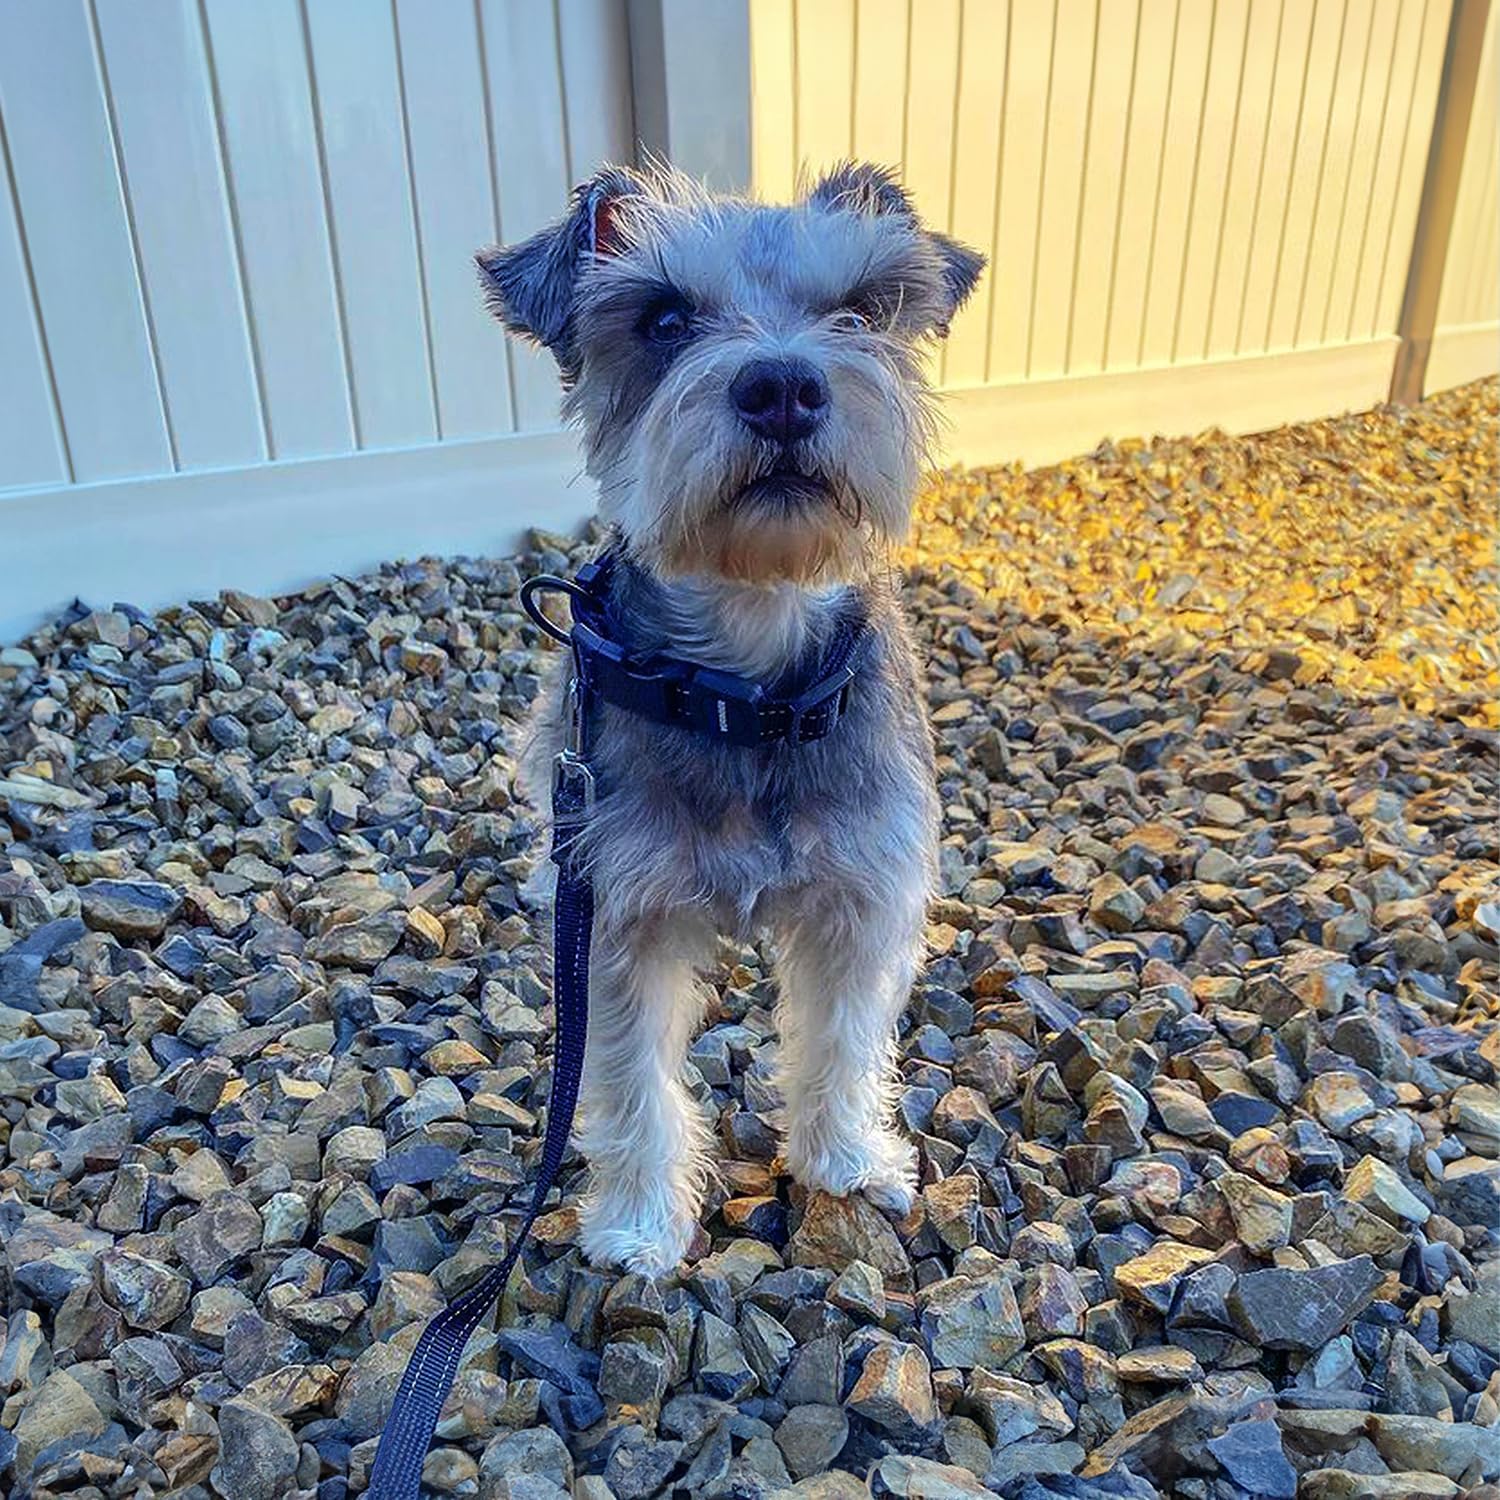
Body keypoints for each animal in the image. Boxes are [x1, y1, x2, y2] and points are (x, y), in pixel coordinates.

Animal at [477, 161, 984, 1275]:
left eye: (859, 311)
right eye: (665, 319)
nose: (783, 385)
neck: (749, 691)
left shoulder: (864, 900)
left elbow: (843, 1040)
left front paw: (848, 1161)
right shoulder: (616, 918)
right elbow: (629, 1082)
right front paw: (636, 1222)